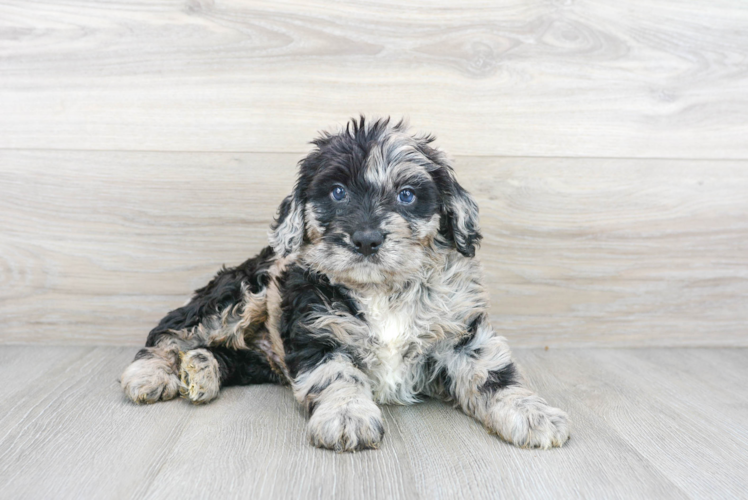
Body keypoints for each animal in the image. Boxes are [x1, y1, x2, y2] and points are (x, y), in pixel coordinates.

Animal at [121, 118, 568, 454]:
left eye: (407, 195)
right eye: (337, 192)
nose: (367, 239)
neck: (382, 290)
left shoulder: (462, 334)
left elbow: (492, 374)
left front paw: (533, 413)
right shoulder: (315, 330)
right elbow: (337, 375)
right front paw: (347, 416)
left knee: (228, 356)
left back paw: (201, 369)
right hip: (239, 295)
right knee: (171, 332)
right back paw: (151, 375)